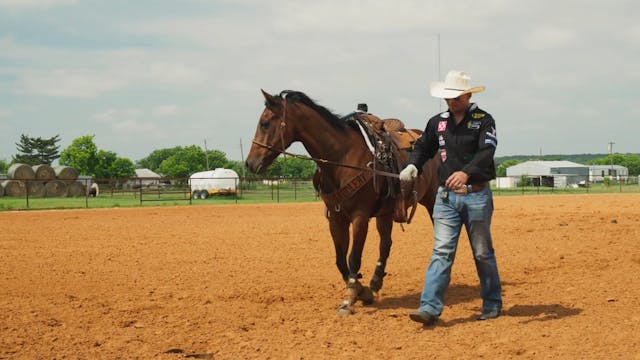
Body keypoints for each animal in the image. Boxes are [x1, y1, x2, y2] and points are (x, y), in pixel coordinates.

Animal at [246, 90, 440, 316]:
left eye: (265, 123)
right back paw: (375, 283)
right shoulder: (336, 219)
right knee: (385, 244)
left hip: (433, 201)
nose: (250, 163)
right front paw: (361, 290)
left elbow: (353, 257)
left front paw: (349, 299)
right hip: (385, 214)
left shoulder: (360, 217)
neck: (342, 157)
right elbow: (340, 260)